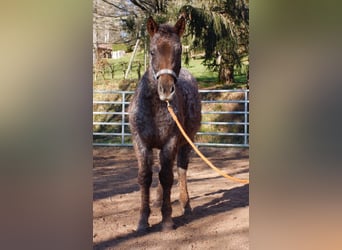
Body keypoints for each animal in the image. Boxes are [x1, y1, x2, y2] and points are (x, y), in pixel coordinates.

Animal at [130, 16, 202, 232]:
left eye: (178, 51)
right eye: (152, 51)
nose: (166, 89)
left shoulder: (170, 142)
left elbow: (168, 177)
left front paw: (167, 219)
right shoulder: (141, 143)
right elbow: (145, 177)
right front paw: (143, 220)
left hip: (185, 143)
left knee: (181, 170)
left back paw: (185, 205)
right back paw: (157, 201)